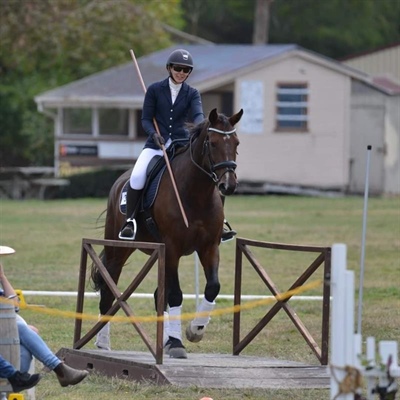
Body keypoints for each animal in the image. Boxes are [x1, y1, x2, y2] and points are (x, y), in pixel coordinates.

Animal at [92, 108, 242, 358]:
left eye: (237, 143)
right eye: (212, 143)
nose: (228, 185)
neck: (196, 193)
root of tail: (119, 182)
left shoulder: (209, 247)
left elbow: (212, 287)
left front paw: (195, 330)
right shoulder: (172, 248)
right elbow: (175, 295)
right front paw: (179, 343)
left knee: (156, 295)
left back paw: (165, 341)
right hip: (117, 250)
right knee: (108, 291)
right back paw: (103, 343)